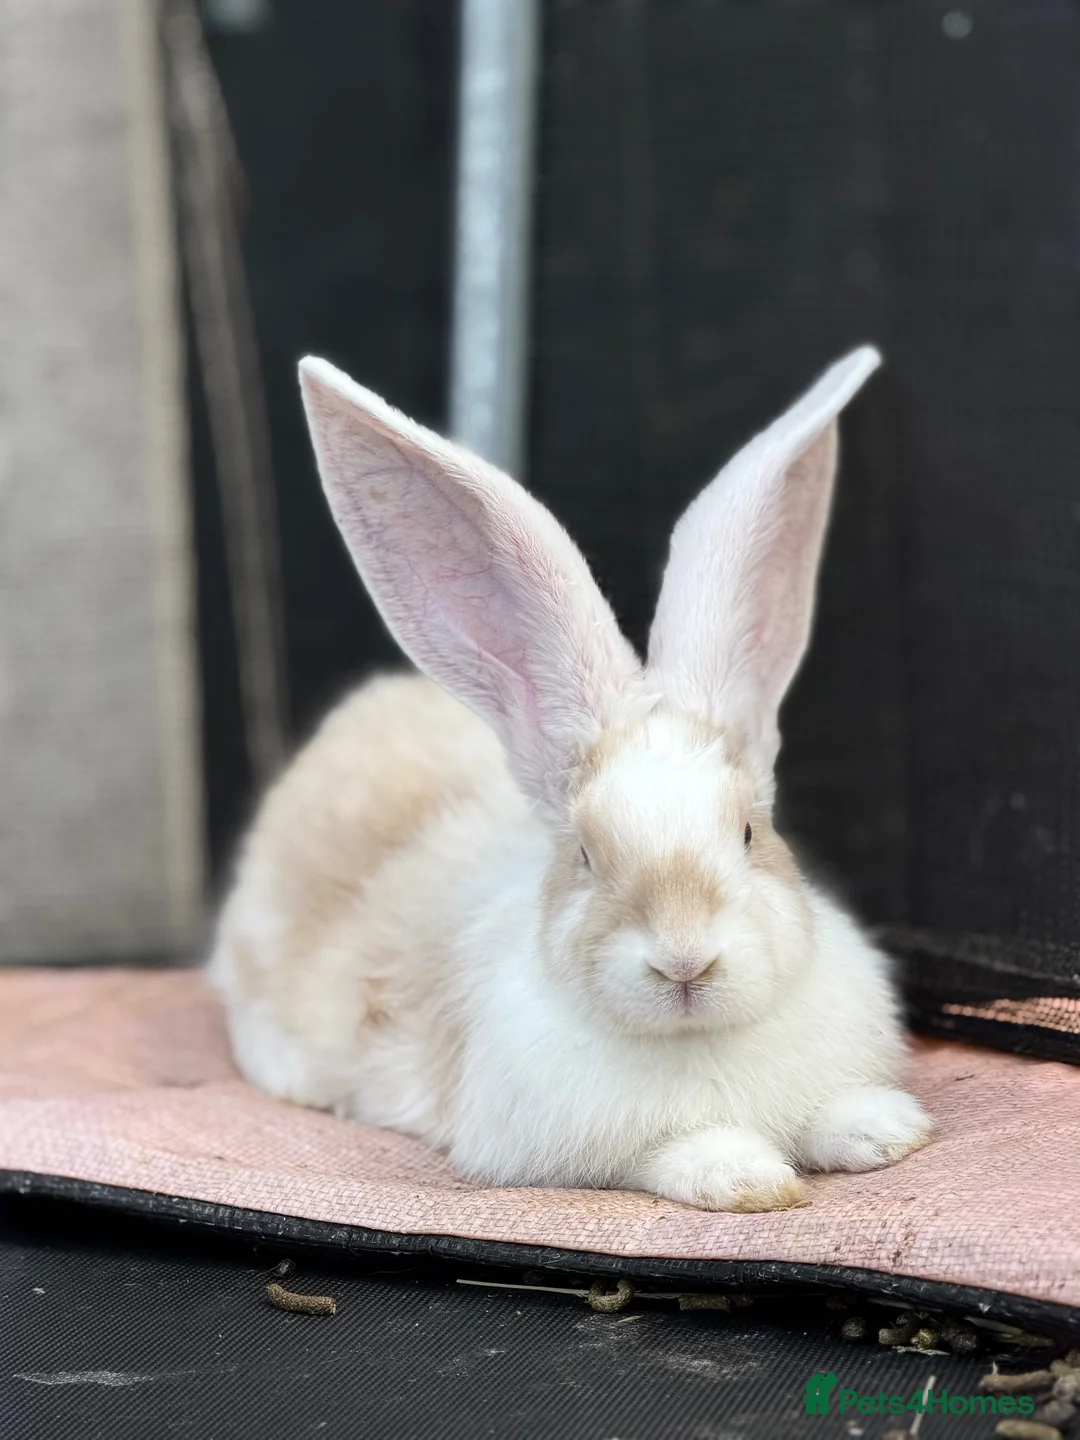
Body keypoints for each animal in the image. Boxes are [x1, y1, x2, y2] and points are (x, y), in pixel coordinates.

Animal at [210, 345, 932, 1212]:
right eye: (586, 856)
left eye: (749, 833)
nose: (684, 962)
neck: (698, 1042)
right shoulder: (583, 1146)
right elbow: (670, 1154)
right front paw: (745, 1177)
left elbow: (834, 1115)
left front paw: (886, 1130)